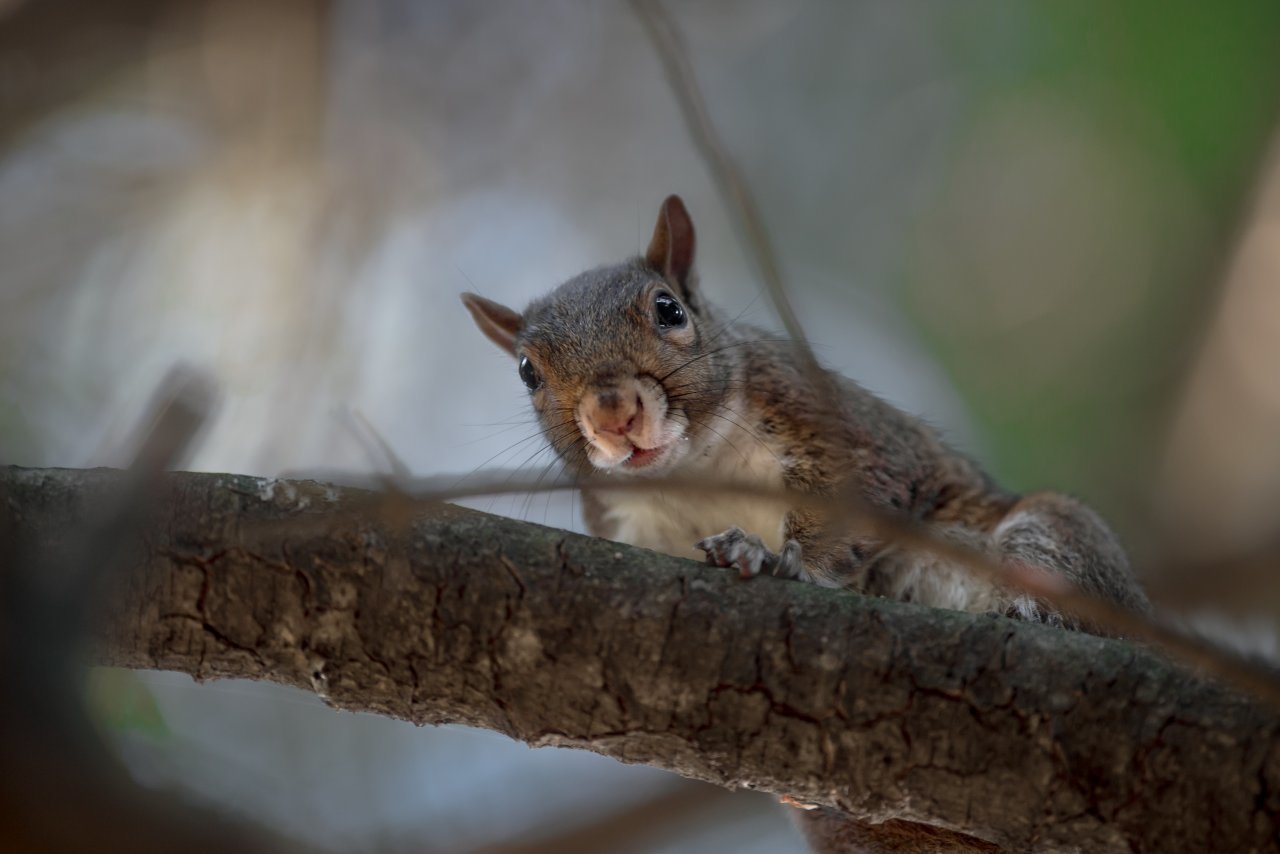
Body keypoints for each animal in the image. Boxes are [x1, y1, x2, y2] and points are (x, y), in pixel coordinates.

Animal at [461, 194, 1150, 631]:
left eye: (668, 309)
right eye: (526, 371)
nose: (611, 415)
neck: (698, 470)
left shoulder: (833, 424)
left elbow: (854, 500)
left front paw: (771, 558)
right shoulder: (628, 526)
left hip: (1052, 537)